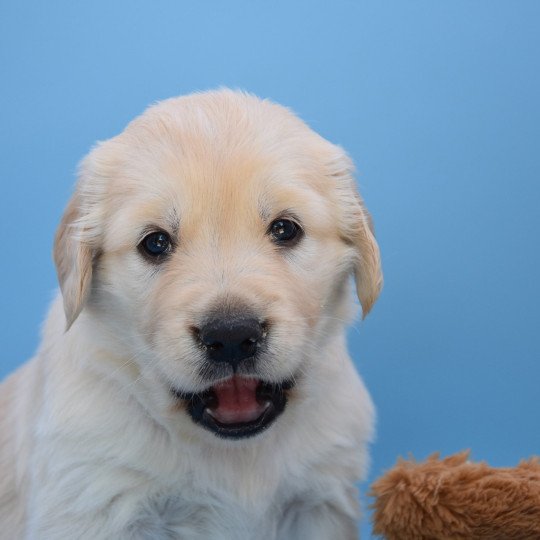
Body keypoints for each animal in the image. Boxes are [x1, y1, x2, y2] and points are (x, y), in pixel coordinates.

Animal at [0, 90, 380, 536]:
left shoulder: (319, 502)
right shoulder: (94, 499)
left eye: (286, 229)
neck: (232, 452)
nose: (231, 336)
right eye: (155, 243)